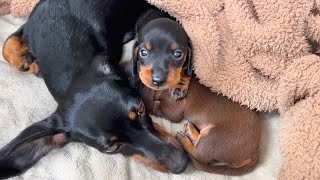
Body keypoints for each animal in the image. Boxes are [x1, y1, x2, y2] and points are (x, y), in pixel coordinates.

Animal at [0, 0, 189, 179]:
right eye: (112, 148)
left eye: (141, 109)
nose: (182, 164)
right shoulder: (28, 28)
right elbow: (7, 44)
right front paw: (25, 62)